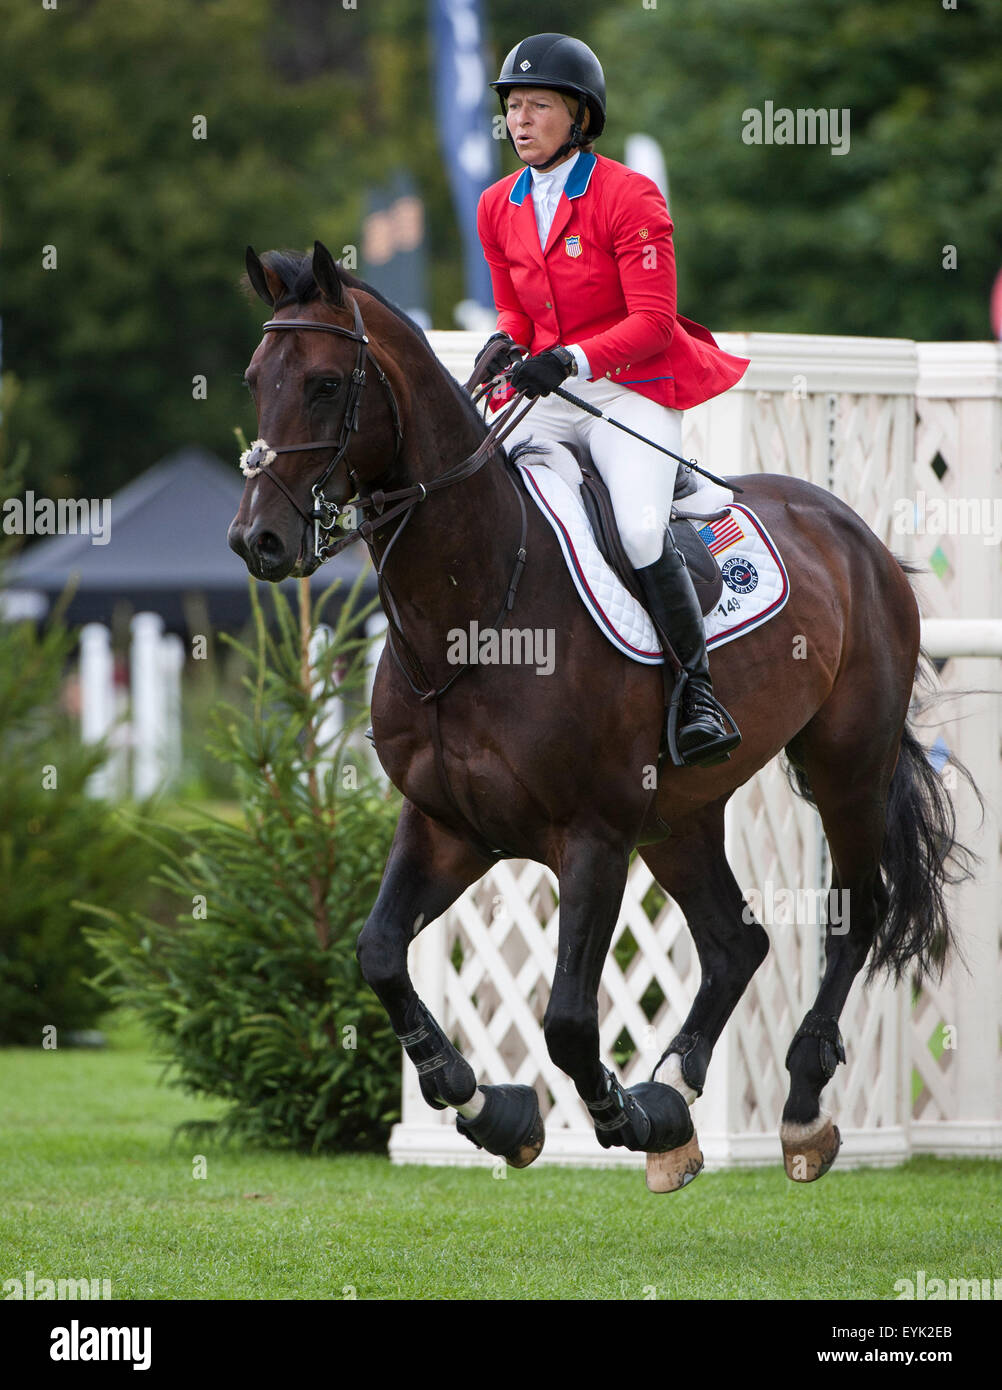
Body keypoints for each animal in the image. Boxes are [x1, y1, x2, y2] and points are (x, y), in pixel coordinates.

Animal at [229, 240, 970, 1192]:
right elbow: (381, 954)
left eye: (324, 383)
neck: (473, 612)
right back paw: (678, 1090)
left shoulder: (592, 836)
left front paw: (622, 1116)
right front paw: (489, 1108)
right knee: (735, 943)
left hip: (845, 766)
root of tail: (854, 532)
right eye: (256, 378)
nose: (259, 541)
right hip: (680, 816)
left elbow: (569, 1020)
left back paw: (796, 1108)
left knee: (857, 916)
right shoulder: (446, 826)